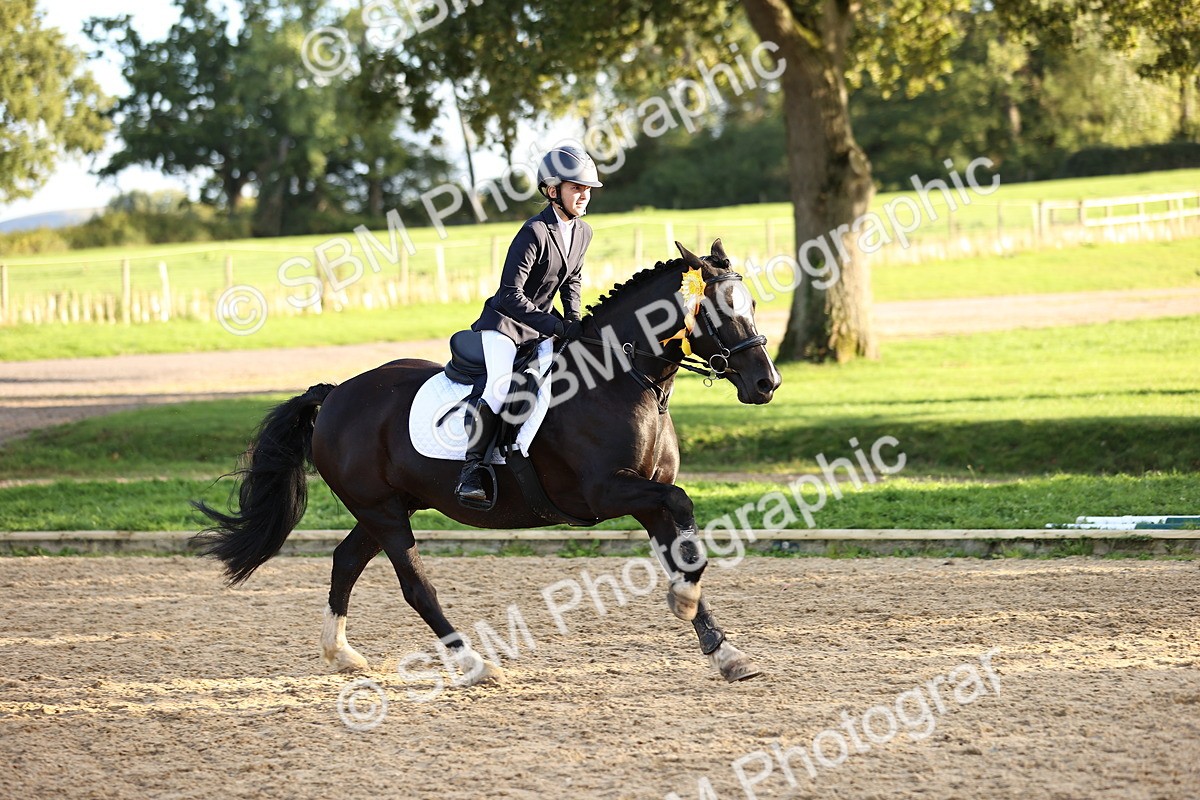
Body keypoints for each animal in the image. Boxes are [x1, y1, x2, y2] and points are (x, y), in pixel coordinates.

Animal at [194, 239, 782, 685]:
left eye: (750, 304)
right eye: (719, 309)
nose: (766, 384)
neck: (623, 379)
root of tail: (336, 393)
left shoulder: (648, 497)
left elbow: (683, 549)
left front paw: (724, 650)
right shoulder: (606, 491)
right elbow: (682, 511)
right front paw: (684, 605)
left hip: (390, 506)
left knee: (345, 560)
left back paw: (342, 654)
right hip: (385, 512)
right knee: (416, 587)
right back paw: (474, 664)